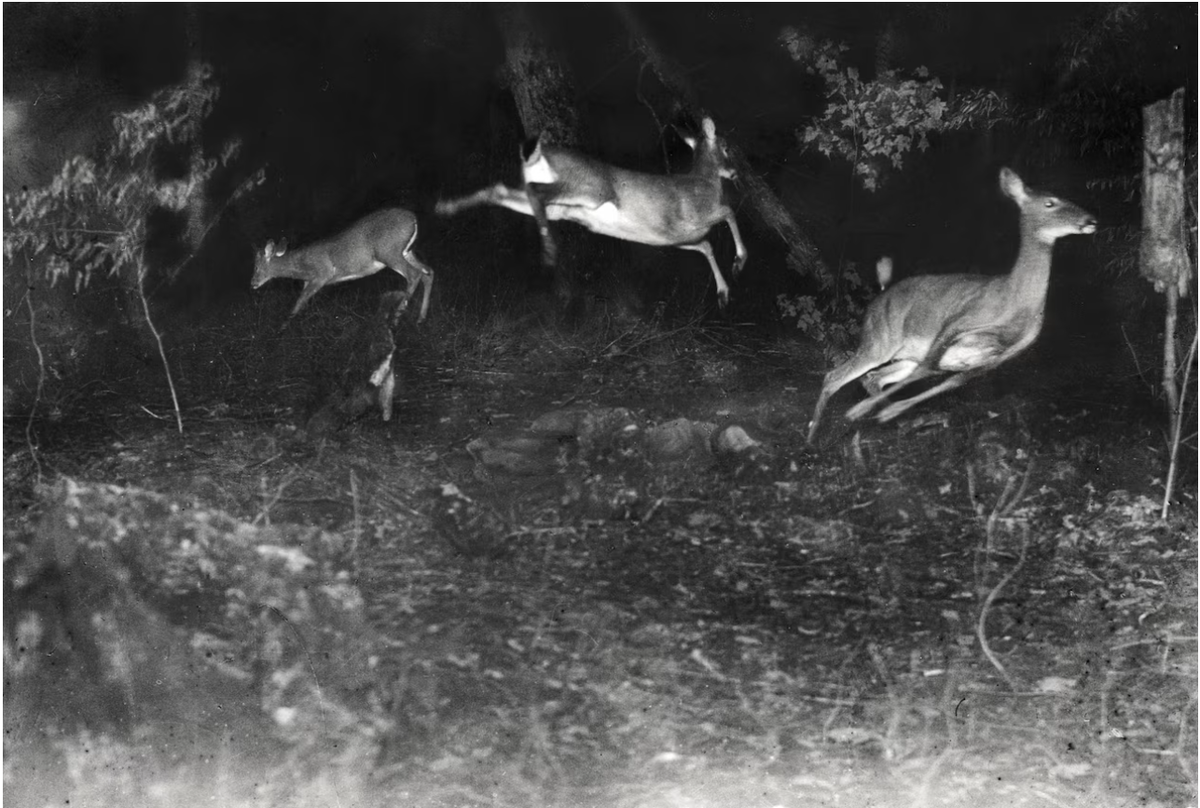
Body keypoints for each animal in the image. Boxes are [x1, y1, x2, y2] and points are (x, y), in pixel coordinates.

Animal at [253, 206, 436, 324]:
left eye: (256, 266)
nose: (252, 283)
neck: (300, 266)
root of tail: (413, 218)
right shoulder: (309, 281)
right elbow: (302, 302)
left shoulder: (323, 274)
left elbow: (298, 302)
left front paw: (284, 327)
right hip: (406, 251)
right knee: (428, 272)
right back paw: (421, 318)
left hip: (389, 252)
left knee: (414, 275)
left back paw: (396, 318)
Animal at [436, 116, 744, 309]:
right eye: (727, 147)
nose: (734, 172)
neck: (704, 183)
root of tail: (539, 154)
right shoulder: (690, 218)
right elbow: (729, 212)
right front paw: (740, 262)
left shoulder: (675, 237)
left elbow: (706, 246)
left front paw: (724, 294)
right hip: (590, 189)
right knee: (535, 190)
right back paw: (549, 251)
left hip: (562, 206)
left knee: (501, 190)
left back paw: (445, 206)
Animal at [806, 168, 1099, 444]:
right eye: (1050, 203)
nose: (1091, 221)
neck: (1015, 302)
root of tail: (879, 297)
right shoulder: (957, 321)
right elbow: (928, 369)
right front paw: (863, 410)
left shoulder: (1000, 356)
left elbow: (950, 382)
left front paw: (891, 412)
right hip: (880, 339)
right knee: (834, 376)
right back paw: (812, 438)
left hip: (903, 354)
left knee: (874, 377)